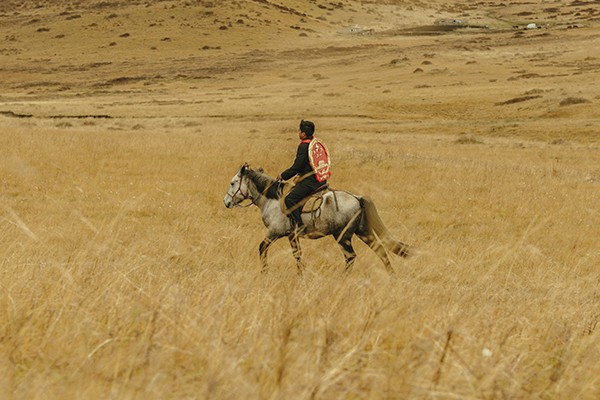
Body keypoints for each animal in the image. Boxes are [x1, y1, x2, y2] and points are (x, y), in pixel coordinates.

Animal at [223, 163, 410, 276]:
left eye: (232, 183)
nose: (226, 202)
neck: (272, 199)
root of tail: (357, 198)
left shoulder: (275, 232)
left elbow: (262, 248)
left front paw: (264, 272)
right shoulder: (292, 235)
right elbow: (297, 255)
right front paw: (301, 275)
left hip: (342, 236)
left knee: (351, 257)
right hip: (363, 232)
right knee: (381, 250)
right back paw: (391, 275)